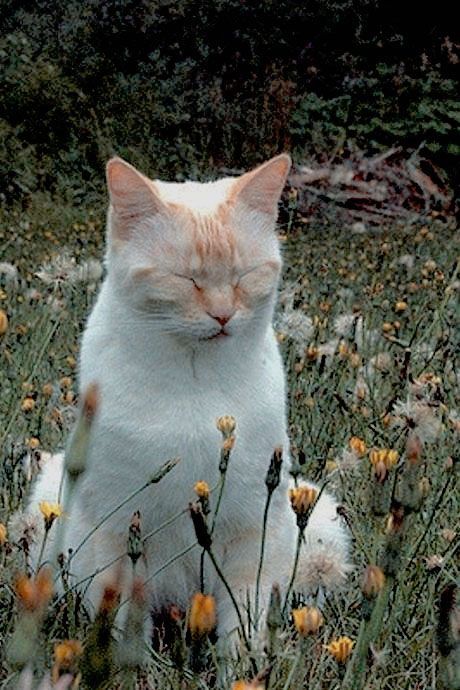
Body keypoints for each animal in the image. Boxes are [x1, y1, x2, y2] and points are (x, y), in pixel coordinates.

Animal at [28, 153, 348, 636]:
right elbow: (121, 630)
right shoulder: (119, 533)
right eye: (186, 279)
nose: (222, 315)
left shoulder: (251, 534)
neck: (197, 385)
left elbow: (244, 628)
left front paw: (246, 659)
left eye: (243, 276)